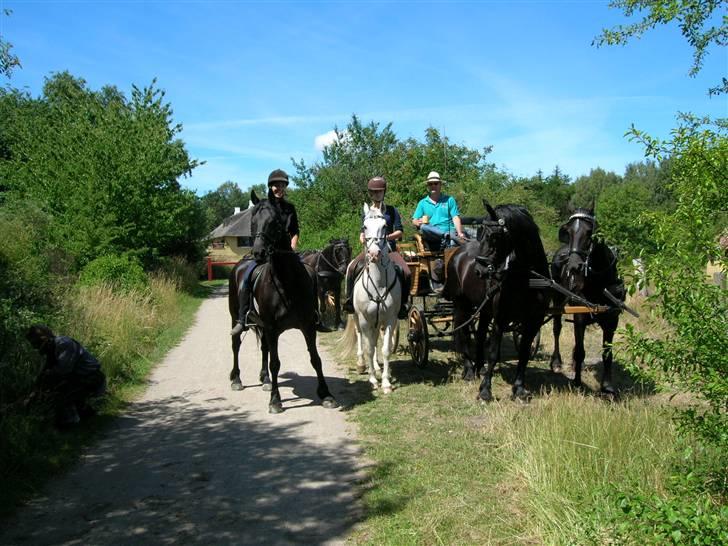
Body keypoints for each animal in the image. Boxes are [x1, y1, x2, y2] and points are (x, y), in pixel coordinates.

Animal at [228, 191, 338, 412]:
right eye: (253, 222)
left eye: (274, 222)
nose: (259, 253)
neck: (286, 282)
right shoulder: (272, 328)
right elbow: (275, 363)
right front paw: (275, 400)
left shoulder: (307, 326)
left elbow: (316, 359)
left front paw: (326, 394)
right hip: (236, 317)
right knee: (236, 344)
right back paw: (236, 379)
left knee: (263, 348)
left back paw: (265, 379)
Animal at [350, 203, 400, 392]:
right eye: (364, 227)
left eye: (384, 226)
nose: (374, 253)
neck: (378, 283)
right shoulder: (365, 319)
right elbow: (369, 349)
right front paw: (372, 379)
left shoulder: (390, 319)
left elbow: (385, 349)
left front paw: (385, 381)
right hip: (357, 317)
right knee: (361, 337)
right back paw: (362, 364)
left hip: (378, 322)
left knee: (375, 339)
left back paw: (378, 368)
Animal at [446, 201, 548, 400]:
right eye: (479, 233)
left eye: (493, 236)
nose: (479, 270)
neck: (527, 279)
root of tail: (458, 251)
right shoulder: (501, 319)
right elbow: (493, 353)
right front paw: (485, 391)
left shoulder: (533, 322)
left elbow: (524, 353)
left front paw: (519, 389)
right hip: (462, 304)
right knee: (463, 333)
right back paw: (469, 370)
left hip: (484, 309)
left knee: (479, 335)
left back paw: (479, 367)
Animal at [552, 206, 624, 394]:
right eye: (568, 231)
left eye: (590, 232)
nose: (573, 265)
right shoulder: (580, 316)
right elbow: (580, 351)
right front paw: (577, 382)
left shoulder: (612, 320)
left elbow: (607, 354)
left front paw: (607, 386)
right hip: (557, 301)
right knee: (557, 329)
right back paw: (556, 362)